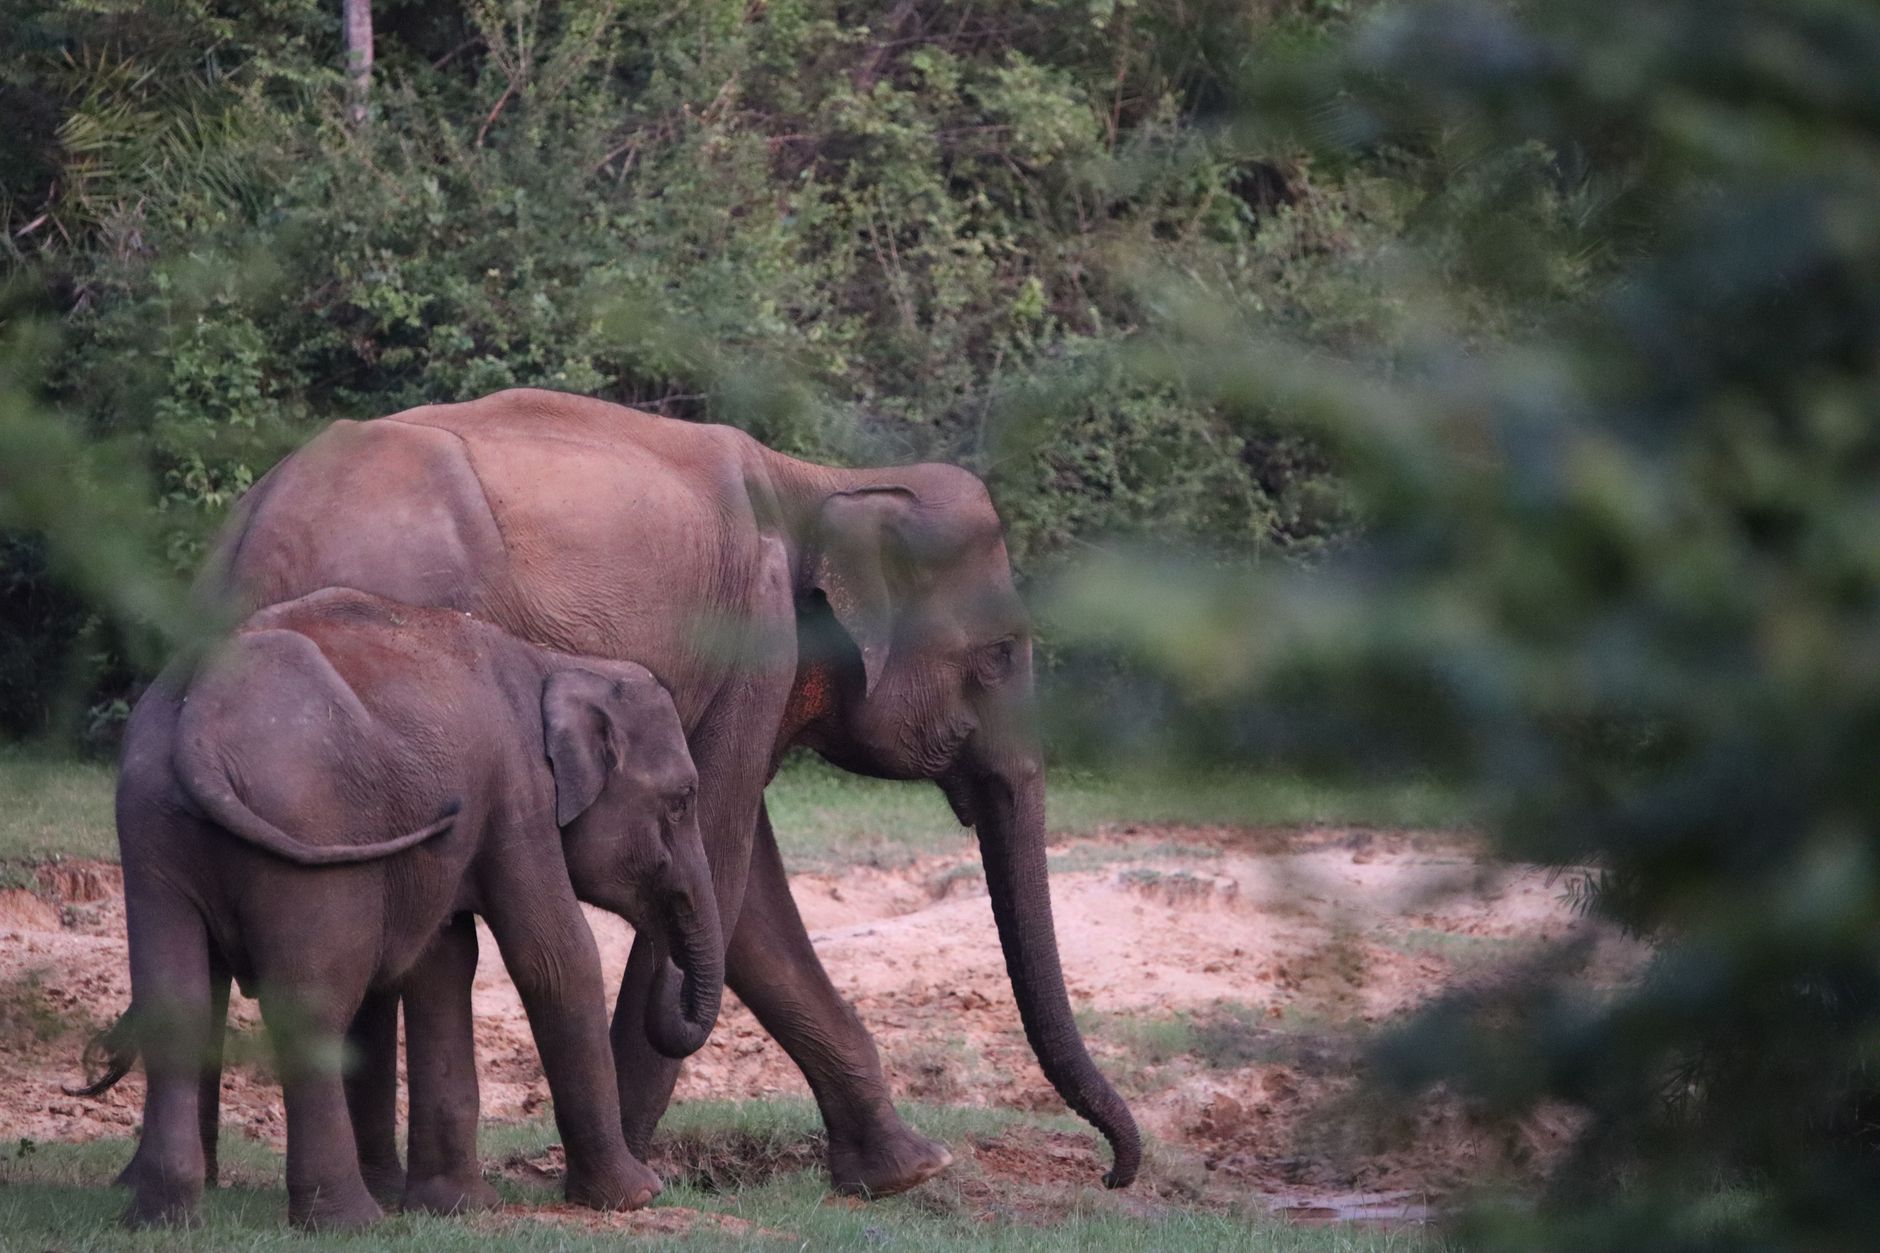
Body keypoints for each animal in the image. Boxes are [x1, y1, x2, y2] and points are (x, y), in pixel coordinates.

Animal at [99, 586, 723, 1229]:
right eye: (682, 801)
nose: (669, 966)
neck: (557, 662)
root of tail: (198, 723)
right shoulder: (519, 791)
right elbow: (555, 957)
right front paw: (637, 1195)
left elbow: (446, 961)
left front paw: (457, 1208)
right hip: (308, 829)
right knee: (314, 1006)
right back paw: (348, 1222)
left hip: (151, 824)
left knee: (177, 1001)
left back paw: (160, 1215)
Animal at [191, 387, 1140, 1196]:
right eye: (1001, 654)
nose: (1114, 1174)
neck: (821, 482)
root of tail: (255, 538)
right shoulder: (756, 635)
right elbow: (724, 859)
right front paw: (631, 1177)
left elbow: (749, 897)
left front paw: (908, 1171)